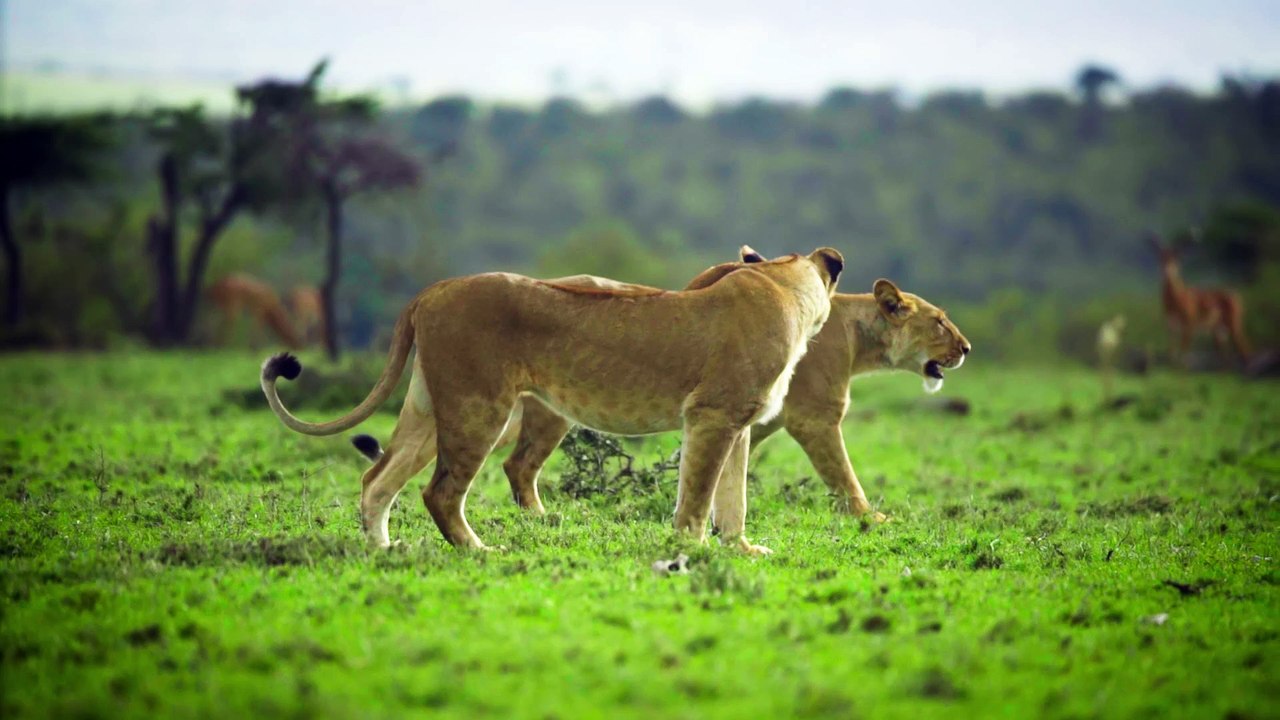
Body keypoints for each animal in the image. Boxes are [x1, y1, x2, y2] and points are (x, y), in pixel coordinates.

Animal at [260, 247, 845, 552]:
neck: (784, 284)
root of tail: (434, 289)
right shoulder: (712, 415)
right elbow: (700, 495)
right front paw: (690, 551)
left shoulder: (737, 423)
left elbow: (734, 498)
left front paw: (741, 550)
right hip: (480, 408)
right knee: (440, 492)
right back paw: (479, 552)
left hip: (429, 409)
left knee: (377, 478)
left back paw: (384, 552)